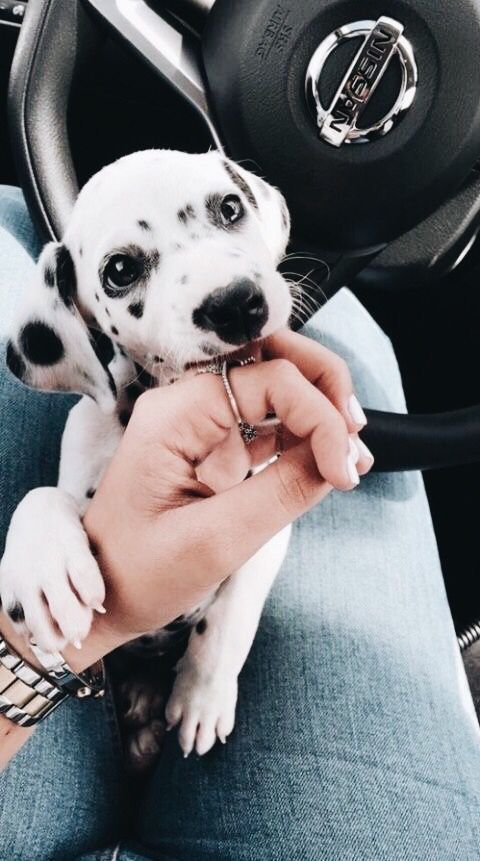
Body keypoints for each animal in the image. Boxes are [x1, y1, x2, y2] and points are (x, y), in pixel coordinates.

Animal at [0, 151, 292, 764]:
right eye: (119, 270)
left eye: (230, 208)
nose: (236, 304)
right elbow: (41, 496)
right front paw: (44, 568)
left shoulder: (268, 523)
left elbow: (232, 613)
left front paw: (203, 694)